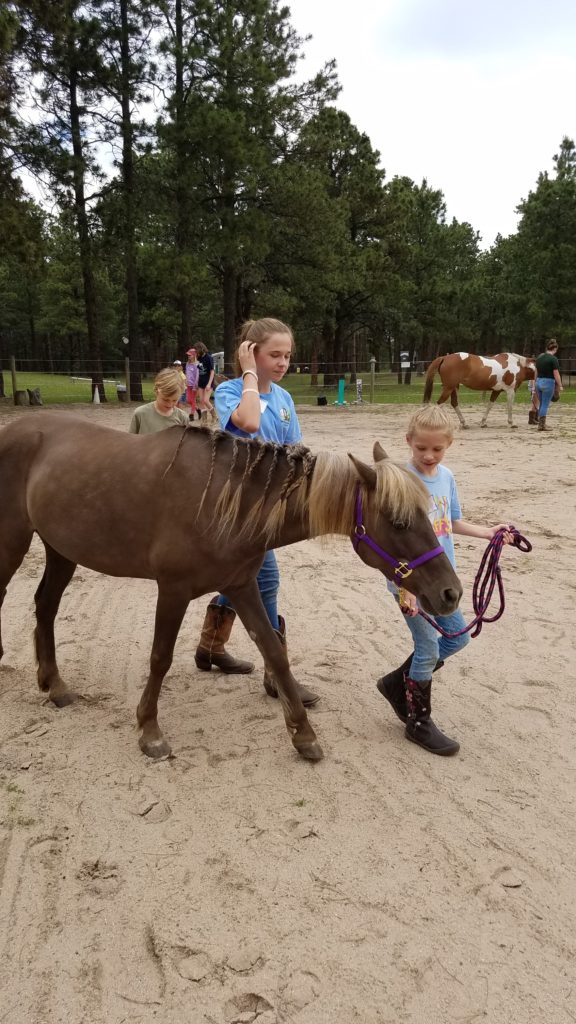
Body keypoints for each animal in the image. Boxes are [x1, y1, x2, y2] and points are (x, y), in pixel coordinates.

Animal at [0, 413, 461, 761]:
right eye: (399, 522)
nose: (451, 593)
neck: (223, 500)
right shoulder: (172, 590)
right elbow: (160, 658)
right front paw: (149, 731)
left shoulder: (241, 587)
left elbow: (275, 651)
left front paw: (303, 735)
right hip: (14, 542)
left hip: (61, 550)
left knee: (45, 606)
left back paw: (55, 686)